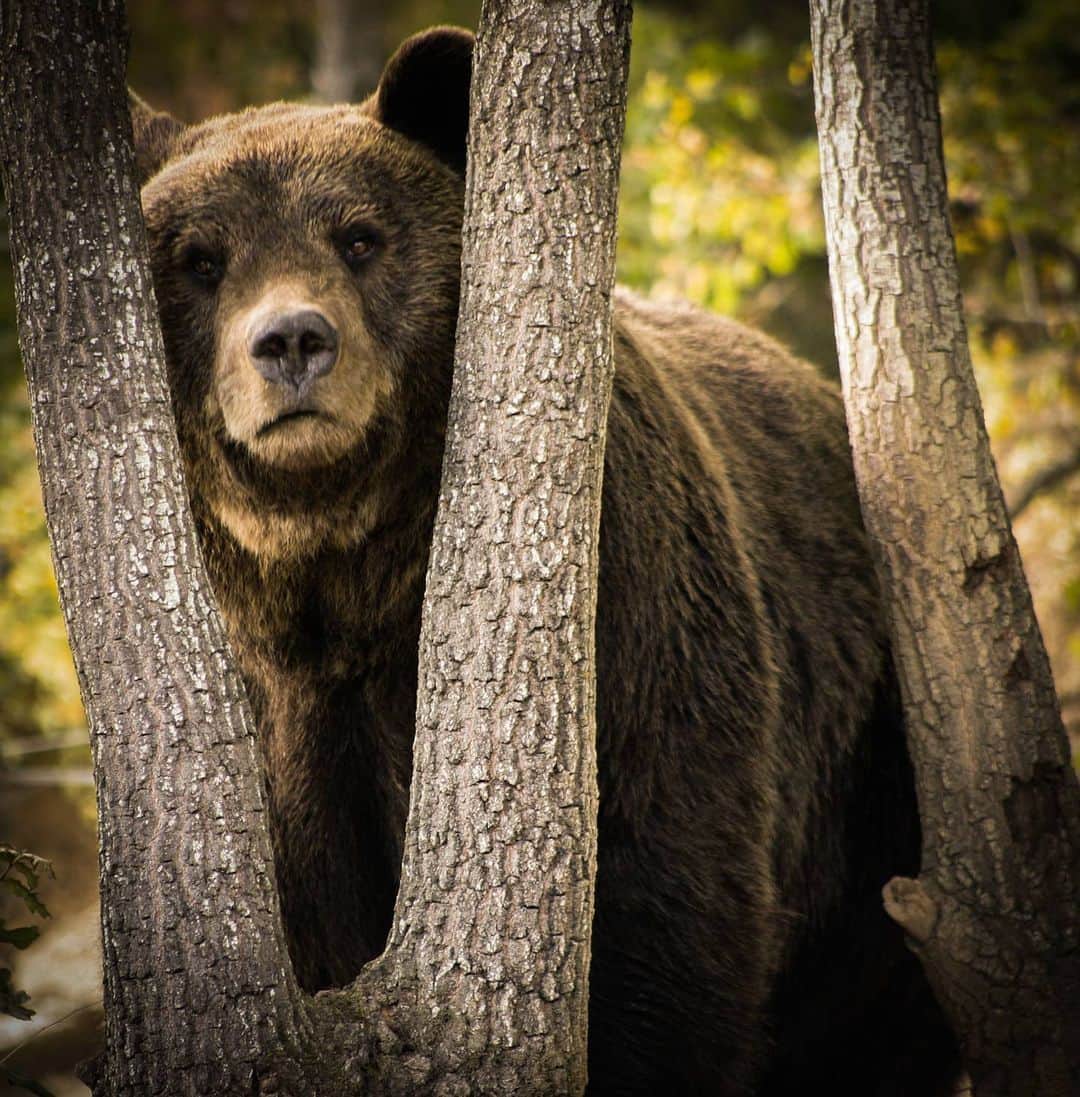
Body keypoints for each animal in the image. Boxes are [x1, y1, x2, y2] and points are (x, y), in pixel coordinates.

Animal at [130, 26, 961, 1097]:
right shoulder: (278, 715)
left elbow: (670, 920)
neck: (351, 571)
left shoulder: (637, 630)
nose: (293, 341)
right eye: (201, 259)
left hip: (875, 785)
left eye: (360, 237)